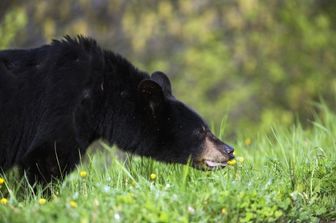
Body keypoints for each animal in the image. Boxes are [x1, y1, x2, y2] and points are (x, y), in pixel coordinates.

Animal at [0, 36, 234, 183]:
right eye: (200, 131)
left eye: (205, 127)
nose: (229, 150)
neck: (99, 96)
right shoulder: (59, 113)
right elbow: (48, 161)